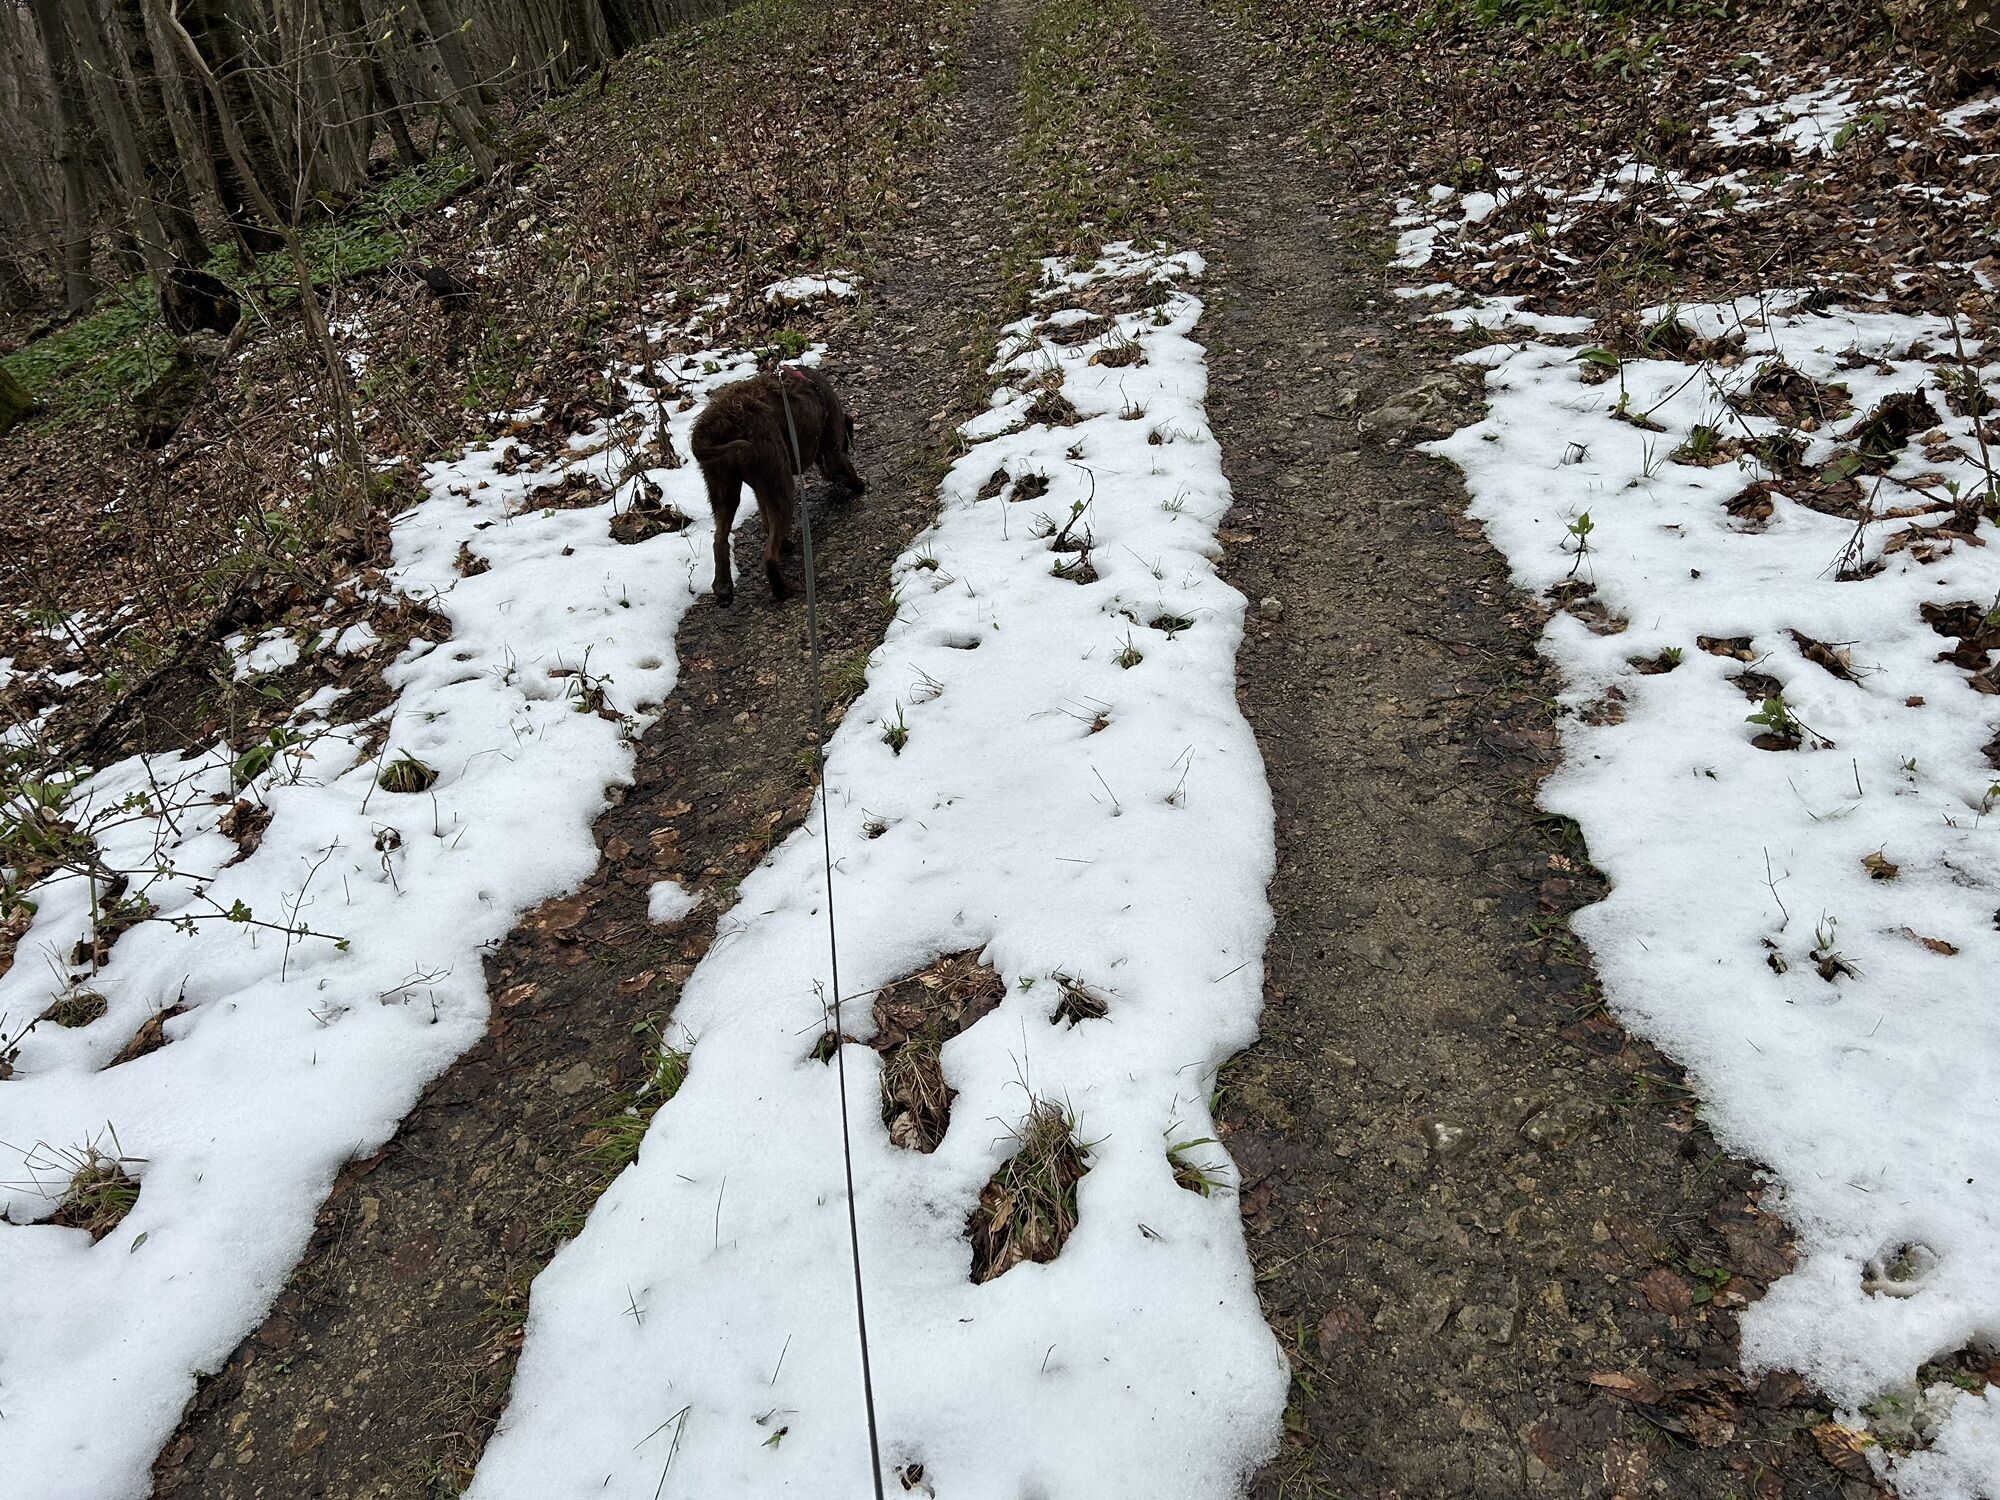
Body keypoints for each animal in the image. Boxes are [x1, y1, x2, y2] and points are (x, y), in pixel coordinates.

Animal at [689, 364, 865, 604]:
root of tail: (718, 425)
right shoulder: (833, 449)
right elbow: (846, 468)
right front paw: (860, 485)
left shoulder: (762, 487)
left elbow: (765, 519)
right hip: (782, 485)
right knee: (769, 556)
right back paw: (781, 589)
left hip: (724, 488)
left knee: (719, 540)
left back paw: (724, 587)